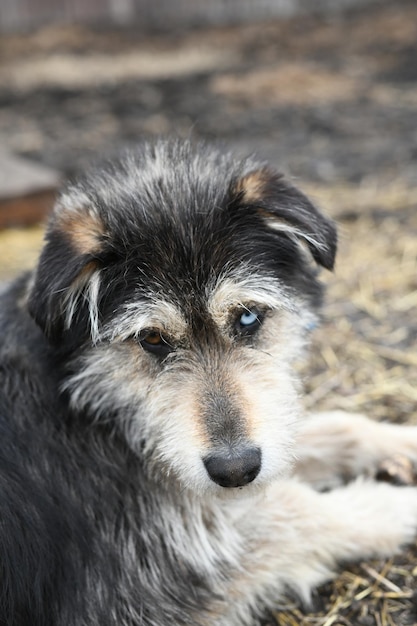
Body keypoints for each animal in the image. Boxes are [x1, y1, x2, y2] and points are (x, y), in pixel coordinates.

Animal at [0, 138, 416, 624]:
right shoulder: (137, 593)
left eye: (248, 316)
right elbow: (294, 512)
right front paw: (390, 505)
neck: (93, 405)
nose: (235, 470)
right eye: (152, 338)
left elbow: (329, 429)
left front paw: (399, 442)